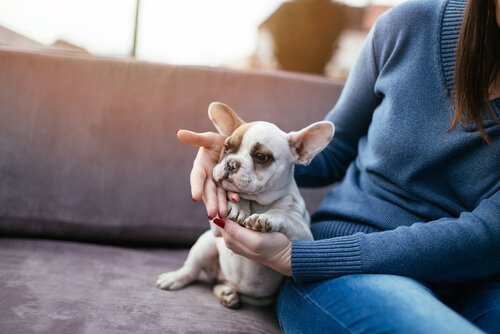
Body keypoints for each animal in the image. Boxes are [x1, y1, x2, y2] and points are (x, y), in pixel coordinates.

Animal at [158, 102, 334, 308]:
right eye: (227, 147)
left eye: (261, 156)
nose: (231, 163)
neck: (258, 202)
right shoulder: (216, 227)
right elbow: (239, 197)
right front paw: (237, 206)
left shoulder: (304, 234)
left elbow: (285, 215)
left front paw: (266, 218)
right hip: (206, 244)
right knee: (192, 270)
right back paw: (177, 278)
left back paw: (228, 293)